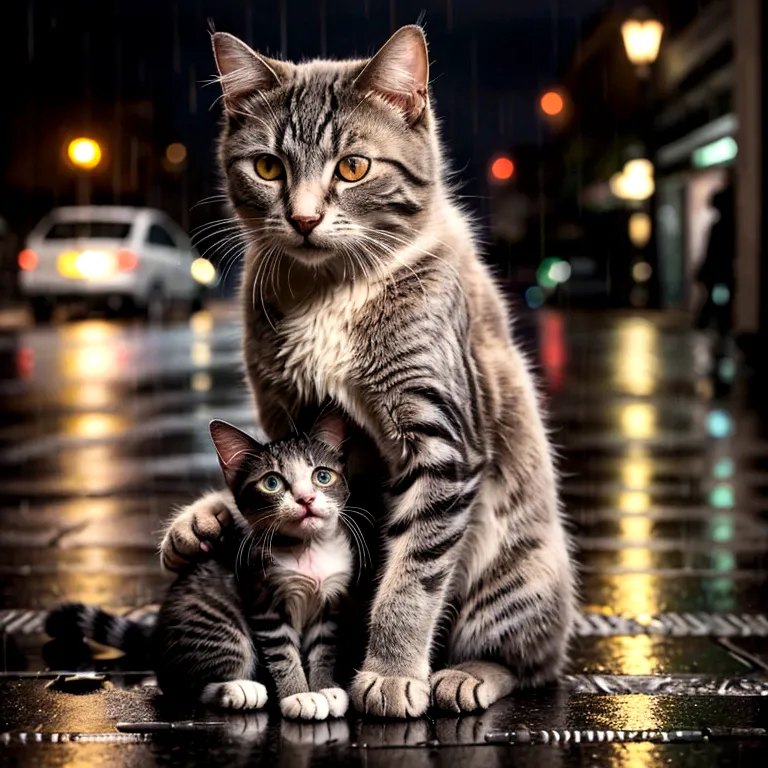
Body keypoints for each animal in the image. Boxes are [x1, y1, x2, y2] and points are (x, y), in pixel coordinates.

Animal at [49, 420, 356, 720]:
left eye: (323, 476)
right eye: (272, 482)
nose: (306, 499)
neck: (307, 549)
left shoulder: (331, 602)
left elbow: (325, 647)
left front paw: (326, 688)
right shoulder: (263, 598)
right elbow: (282, 653)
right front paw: (299, 695)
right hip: (215, 626)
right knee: (183, 685)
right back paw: (236, 689)